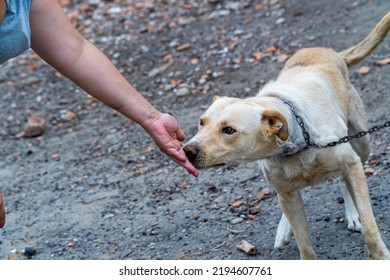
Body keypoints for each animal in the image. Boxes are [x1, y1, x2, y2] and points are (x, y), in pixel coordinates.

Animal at [184, 11, 390, 260]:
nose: (187, 150)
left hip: (362, 143)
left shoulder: (351, 164)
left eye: (229, 130)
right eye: (201, 122)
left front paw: (380, 255)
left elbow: (369, 226)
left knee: (346, 178)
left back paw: (352, 213)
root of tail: (332, 52)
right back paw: (284, 229)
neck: (298, 142)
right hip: (288, 190)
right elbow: (305, 245)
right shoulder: (287, 193)